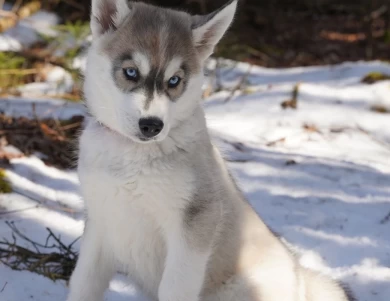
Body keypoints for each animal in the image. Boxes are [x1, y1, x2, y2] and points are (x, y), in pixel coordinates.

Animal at [66, 0, 354, 300]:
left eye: (174, 80)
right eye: (131, 72)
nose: (152, 125)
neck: (130, 155)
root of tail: (301, 281)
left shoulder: (194, 223)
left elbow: (175, 288)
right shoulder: (100, 221)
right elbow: (84, 282)